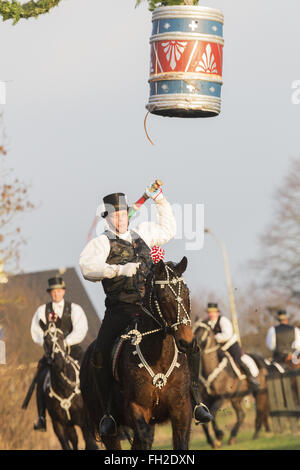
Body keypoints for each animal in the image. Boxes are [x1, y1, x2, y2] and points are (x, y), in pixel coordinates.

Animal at [193, 320, 268, 448]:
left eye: (202, 330)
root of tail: (261, 359)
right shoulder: (206, 399)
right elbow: (205, 419)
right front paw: (212, 441)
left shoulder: (222, 397)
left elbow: (212, 413)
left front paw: (219, 435)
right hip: (236, 398)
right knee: (242, 415)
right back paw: (232, 437)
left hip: (259, 393)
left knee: (260, 411)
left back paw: (255, 435)